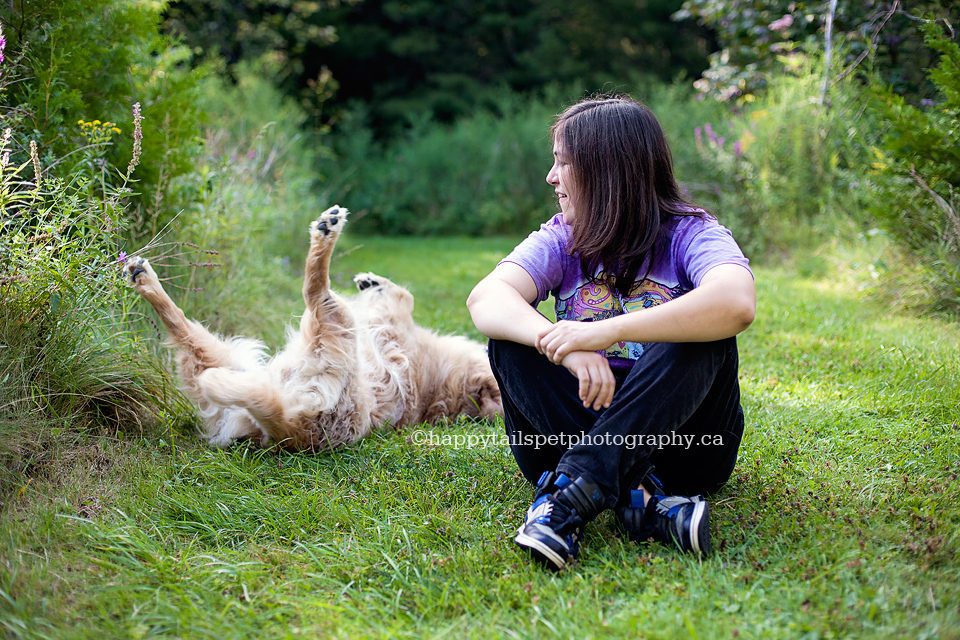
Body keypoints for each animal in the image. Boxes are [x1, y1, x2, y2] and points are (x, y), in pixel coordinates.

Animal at [124, 205, 502, 450]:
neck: (443, 389)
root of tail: (292, 431)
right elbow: (403, 296)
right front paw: (373, 282)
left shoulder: (394, 327)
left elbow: (404, 298)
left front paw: (375, 283)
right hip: (219, 353)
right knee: (180, 322)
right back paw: (145, 278)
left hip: (333, 323)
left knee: (315, 287)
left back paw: (326, 231)